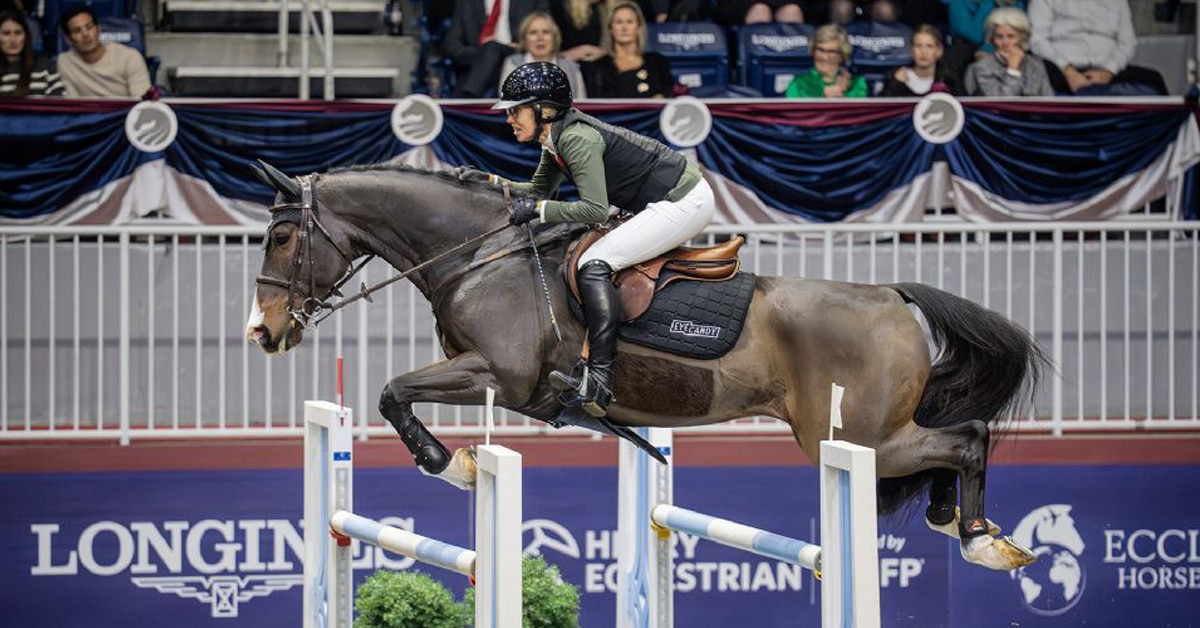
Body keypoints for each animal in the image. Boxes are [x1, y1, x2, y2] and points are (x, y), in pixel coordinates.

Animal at [245, 162, 1048, 571]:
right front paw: (457, 463)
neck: (480, 256)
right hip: (868, 435)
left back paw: (979, 535)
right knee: (953, 442)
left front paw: (455, 466)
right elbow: (395, 394)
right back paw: (956, 522)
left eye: (282, 237)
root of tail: (893, 296)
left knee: (966, 436)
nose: (262, 332)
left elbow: (391, 391)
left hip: (857, 437)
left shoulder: (500, 376)